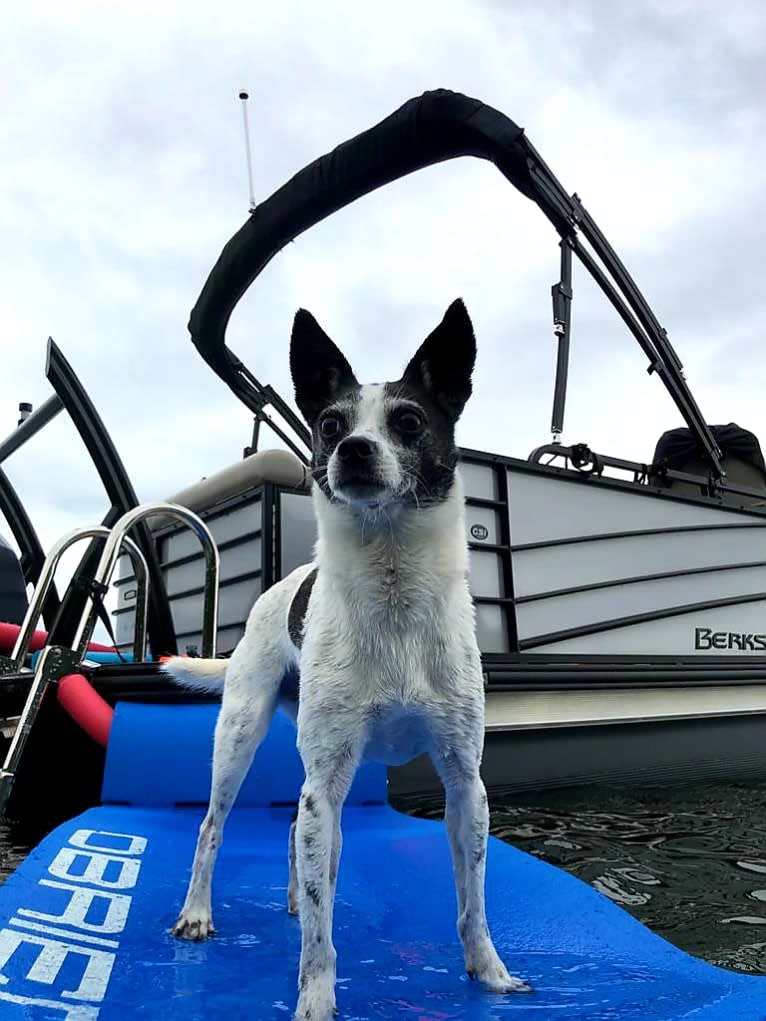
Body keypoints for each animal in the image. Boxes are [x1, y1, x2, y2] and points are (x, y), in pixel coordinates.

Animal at [165, 300, 531, 1021]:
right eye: (331, 424)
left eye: (409, 422)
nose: (352, 450)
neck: (393, 590)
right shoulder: (325, 782)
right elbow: (320, 925)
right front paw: (315, 997)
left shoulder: (463, 784)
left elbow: (472, 902)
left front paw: (490, 973)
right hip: (242, 738)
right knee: (211, 828)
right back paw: (196, 911)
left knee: (298, 843)